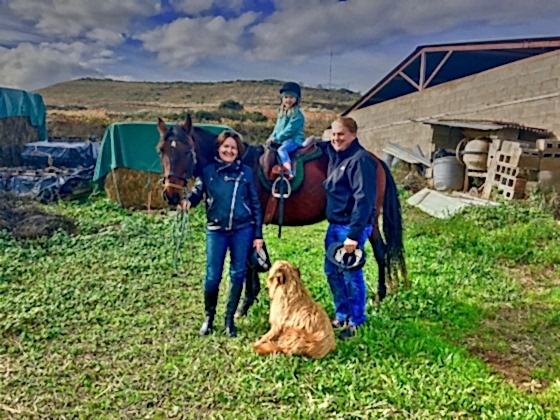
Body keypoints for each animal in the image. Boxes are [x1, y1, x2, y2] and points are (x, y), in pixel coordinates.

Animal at [158, 115, 406, 318]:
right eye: (161, 151)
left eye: (187, 151)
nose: (171, 195)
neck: (237, 165)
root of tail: (376, 161)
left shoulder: (250, 223)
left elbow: (248, 262)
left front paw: (244, 305)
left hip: (369, 222)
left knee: (381, 252)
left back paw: (380, 296)